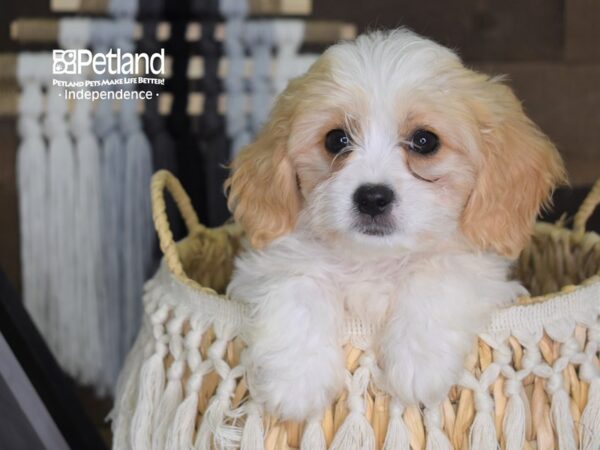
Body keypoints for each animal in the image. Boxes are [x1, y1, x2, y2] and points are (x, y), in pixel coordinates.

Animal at [224, 29, 564, 422]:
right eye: (336, 139)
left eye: (425, 141)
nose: (372, 197)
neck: (375, 260)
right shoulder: (269, 264)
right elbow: (298, 285)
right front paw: (295, 380)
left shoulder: (478, 269)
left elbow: (437, 274)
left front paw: (419, 363)